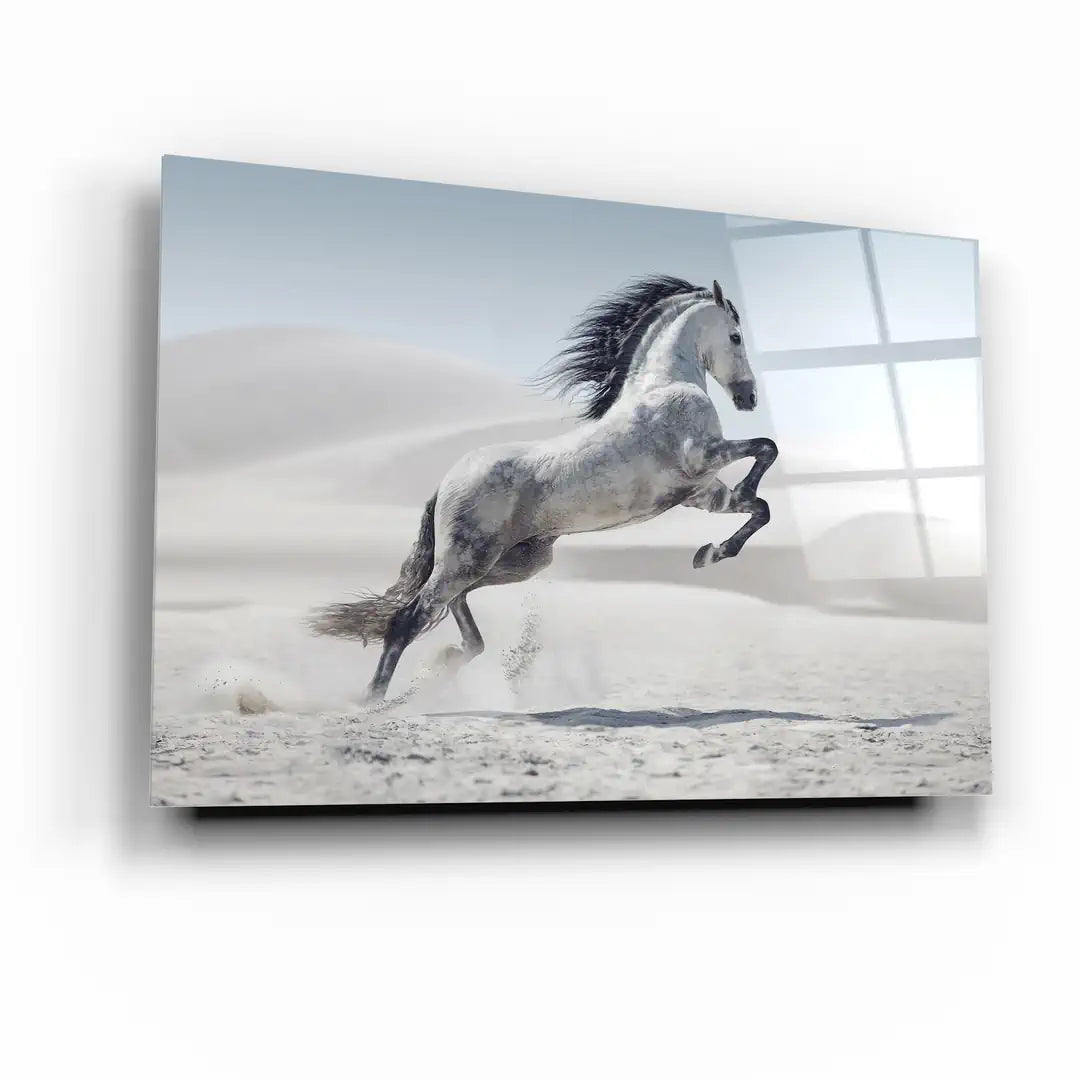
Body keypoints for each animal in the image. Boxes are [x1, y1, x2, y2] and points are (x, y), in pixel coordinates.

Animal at [310, 274, 778, 701]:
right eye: (736, 336)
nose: (749, 398)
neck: (663, 385)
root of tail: (445, 484)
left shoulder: (700, 493)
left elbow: (760, 507)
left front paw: (709, 554)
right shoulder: (702, 457)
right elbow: (766, 449)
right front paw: (720, 536)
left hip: (515, 561)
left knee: (454, 606)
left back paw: (449, 661)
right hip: (467, 560)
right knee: (410, 618)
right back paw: (374, 699)